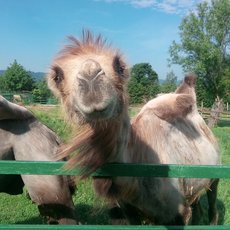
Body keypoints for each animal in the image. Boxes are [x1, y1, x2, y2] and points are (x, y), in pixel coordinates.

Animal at [47, 30, 221, 225]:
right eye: (57, 76)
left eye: (120, 67)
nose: (90, 75)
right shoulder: (129, 209)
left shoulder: (178, 212)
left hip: (216, 172)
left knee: (212, 204)